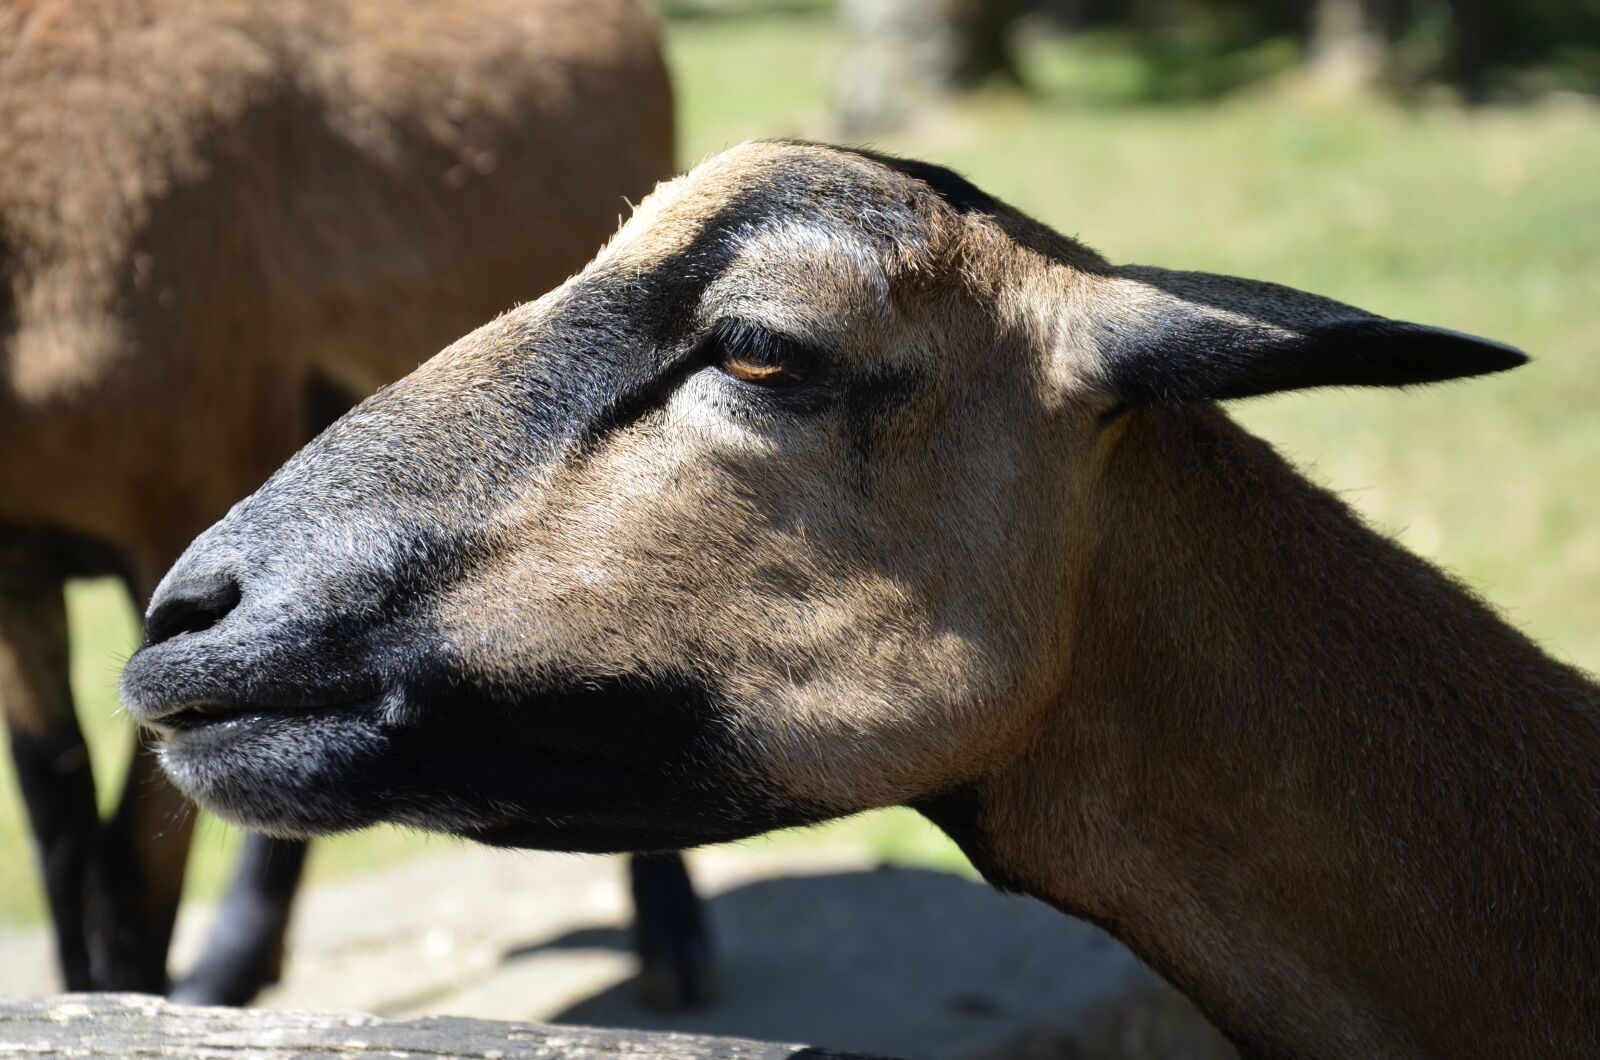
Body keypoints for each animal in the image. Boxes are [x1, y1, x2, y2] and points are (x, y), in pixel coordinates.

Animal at [1, 0, 710, 1008]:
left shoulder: (184, 493)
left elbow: (131, 847)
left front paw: (127, 1002)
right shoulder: (18, 569)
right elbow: (55, 815)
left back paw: (674, 948)